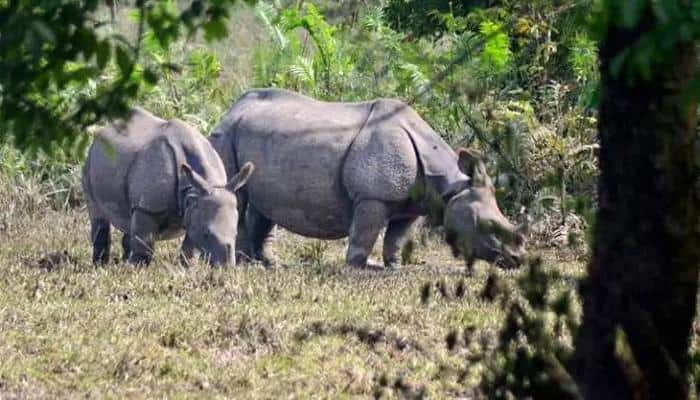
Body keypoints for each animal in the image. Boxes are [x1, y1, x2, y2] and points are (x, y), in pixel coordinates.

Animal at [82, 108, 254, 268]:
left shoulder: (194, 207)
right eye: (206, 233)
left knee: (127, 219)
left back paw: (122, 262)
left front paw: (188, 268)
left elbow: (189, 248)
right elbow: (144, 243)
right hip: (90, 160)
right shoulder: (147, 208)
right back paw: (101, 266)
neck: (195, 190)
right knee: (99, 217)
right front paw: (137, 269)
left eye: (236, 233)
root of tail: (103, 131)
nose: (225, 267)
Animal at [211, 89, 528, 270]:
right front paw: (360, 267)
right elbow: (365, 231)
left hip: (256, 134)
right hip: (226, 135)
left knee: (263, 204)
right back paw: (244, 262)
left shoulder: (414, 203)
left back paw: (267, 262)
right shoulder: (373, 197)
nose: (517, 259)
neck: (450, 186)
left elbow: (397, 237)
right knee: (238, 195)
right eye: (488, 226)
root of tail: (231, 110)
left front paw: (395, 267)